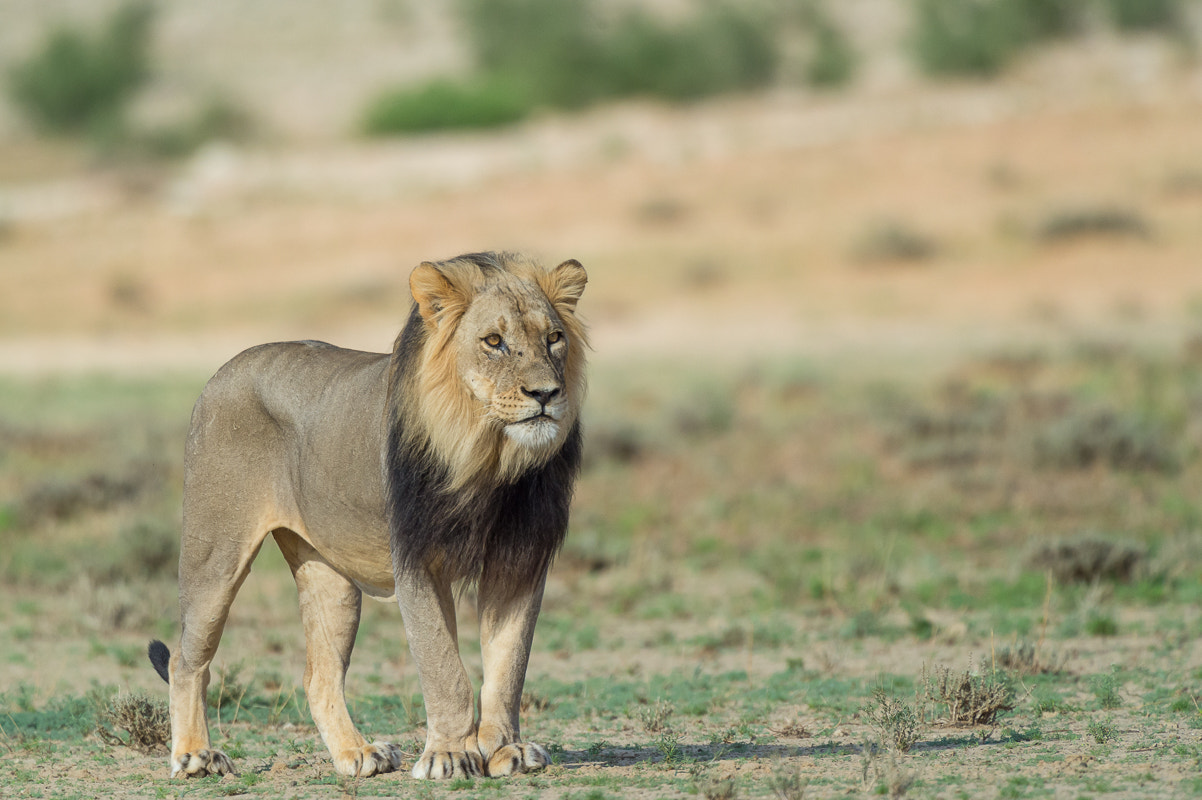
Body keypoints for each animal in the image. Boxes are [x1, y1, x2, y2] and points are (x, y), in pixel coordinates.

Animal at [145, 252, 586, 773]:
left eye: (553, 337)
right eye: (493, 341)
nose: (545, 394)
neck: (489, 457)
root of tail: (223, 370)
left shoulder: (520, 560)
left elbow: (508, 664)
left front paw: (505, 750)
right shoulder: (416, 557)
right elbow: (444, 668)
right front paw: (449, 755)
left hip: (329, 578)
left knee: (318, 676)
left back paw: (357, 752)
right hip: (215, 552)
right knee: (186, 658)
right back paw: (196, 755)